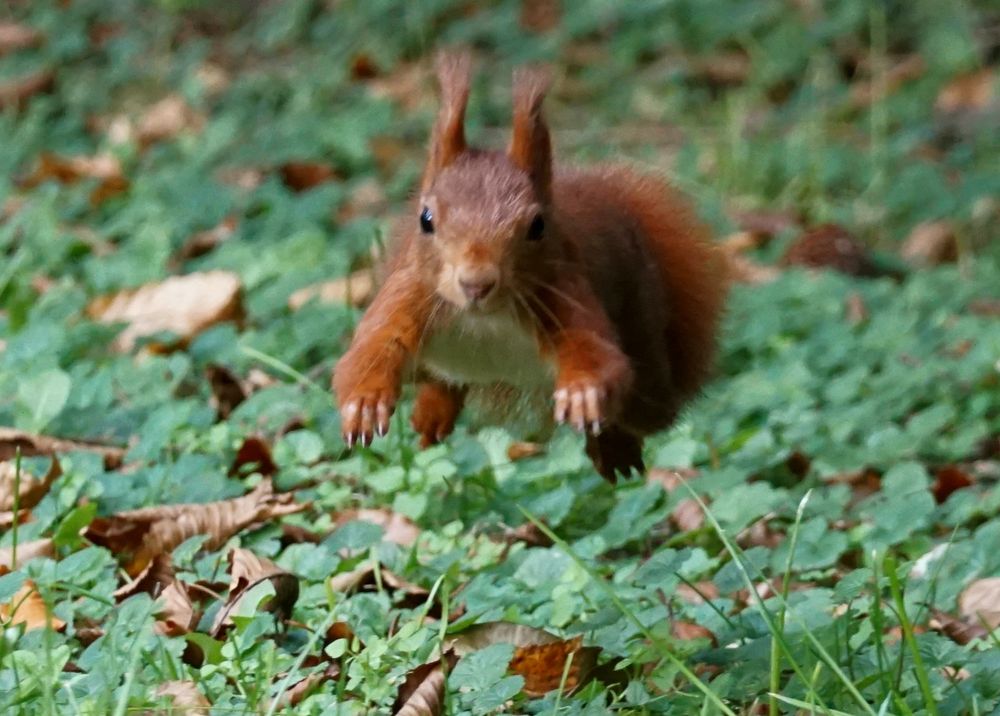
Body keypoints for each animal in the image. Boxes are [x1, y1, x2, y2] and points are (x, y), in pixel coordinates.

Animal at [333, 53, 729, 482]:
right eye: (426, 219)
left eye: (537, 226)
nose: (476, 284)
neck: (484, 320)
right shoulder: (409, 296)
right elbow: (370, 350)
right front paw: (365, 403)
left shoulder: (564, 292)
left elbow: (597, 356)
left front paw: (583, 394)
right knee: (441, 381)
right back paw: (433, 412)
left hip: (645, 356)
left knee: (643, 409)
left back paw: (614, 449)